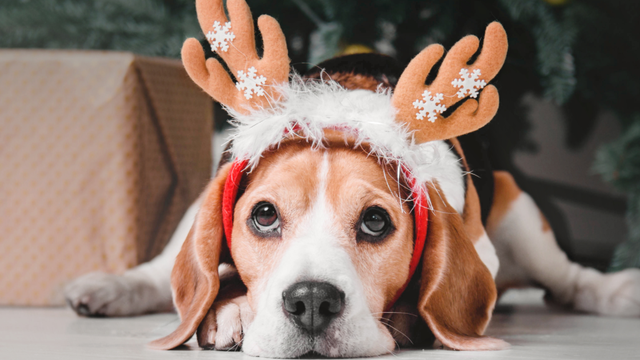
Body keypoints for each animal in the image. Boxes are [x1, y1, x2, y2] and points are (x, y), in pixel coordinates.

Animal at [63, 0, 640, 356]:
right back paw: (108, 287)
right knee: (160, 274)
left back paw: (614, 291)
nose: (312, 303)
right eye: (264, 216)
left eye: (376, 222)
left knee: (569, 279)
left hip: (520, 211)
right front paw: (230, 310)